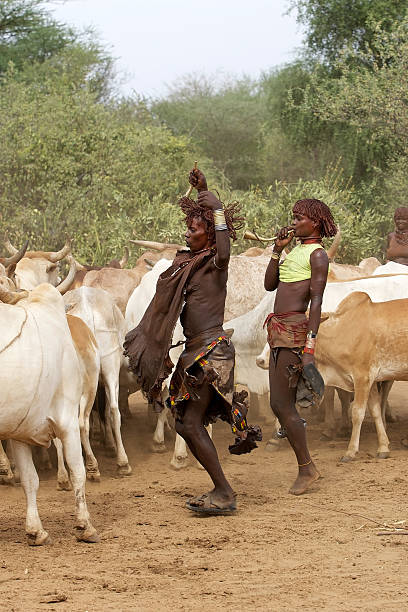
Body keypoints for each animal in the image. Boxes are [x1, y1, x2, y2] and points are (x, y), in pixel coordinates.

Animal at [0, 284, 98, 544]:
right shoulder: (67, 422)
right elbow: (77, 471)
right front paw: (85, 525)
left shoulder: (19, 432)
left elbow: (30, 480)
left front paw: (36, 531)